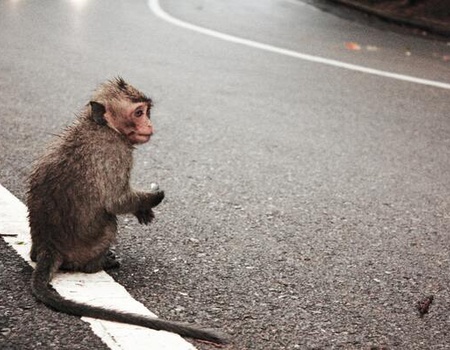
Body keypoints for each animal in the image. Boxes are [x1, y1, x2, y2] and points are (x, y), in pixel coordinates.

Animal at [26, 77, 227, 344]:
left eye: (146, 111)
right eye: (138, 113)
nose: (149, 124)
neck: (102, 126)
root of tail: (49, 247)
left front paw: (144, 208)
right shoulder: (116, 153)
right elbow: (115, 201)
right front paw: (152, 198)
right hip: (85, 247)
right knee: (110, 222)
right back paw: (97, 264)